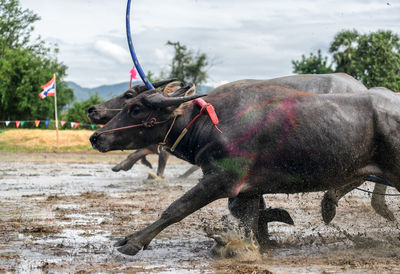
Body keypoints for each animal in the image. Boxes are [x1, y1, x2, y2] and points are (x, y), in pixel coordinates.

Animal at [90, 82, 400, 256]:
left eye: (136, 107)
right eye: (129, 103)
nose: (96, 137)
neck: (213, 123)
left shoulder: (222, 179)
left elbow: (177, 208)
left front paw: (132, 242)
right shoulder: (247, 190)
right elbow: (247, 220)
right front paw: (239, 246)